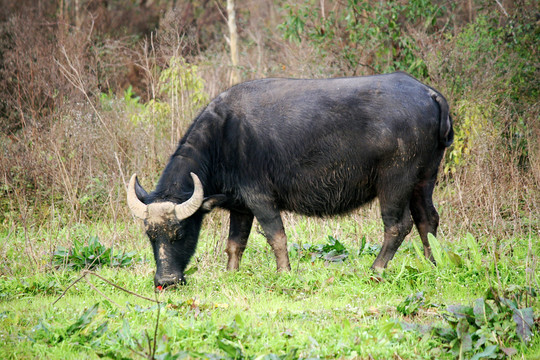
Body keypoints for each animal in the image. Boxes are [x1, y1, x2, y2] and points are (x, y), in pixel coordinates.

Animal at [129, 71, 454, 288]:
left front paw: (284, 272)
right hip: (425, 179)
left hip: (395, 181)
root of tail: (429, 93)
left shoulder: (260, 198)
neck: (223, 137)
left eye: (180, 233)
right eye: (150, 236)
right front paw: (231, 273)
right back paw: (432, 263)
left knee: (398, 225)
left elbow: (276, 237)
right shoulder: (241, 206)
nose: (166, 281)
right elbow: (235, 243)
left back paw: (376, 269)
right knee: (428, 219)